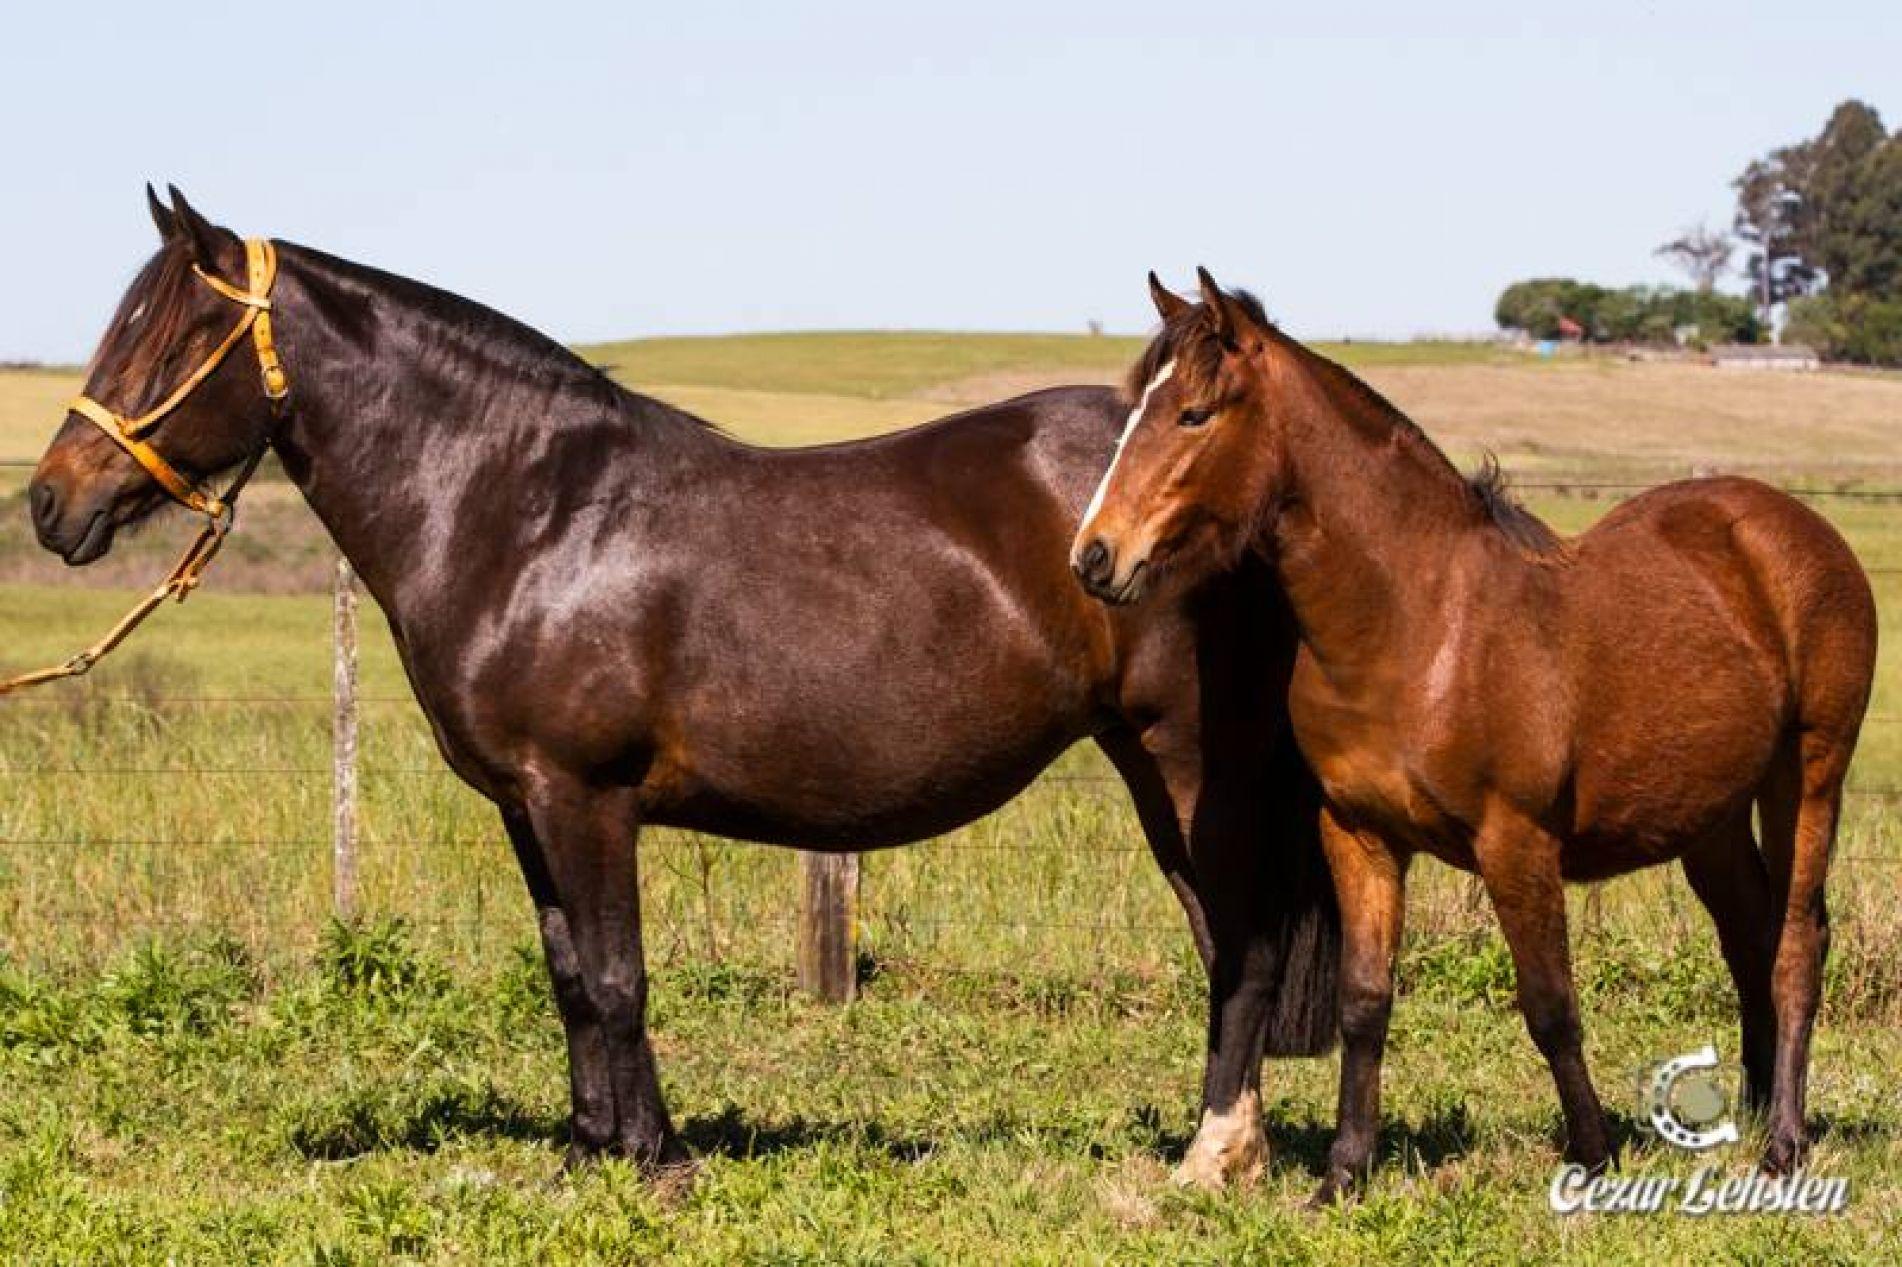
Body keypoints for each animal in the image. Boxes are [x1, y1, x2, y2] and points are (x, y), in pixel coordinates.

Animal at [26, 190, 1339, 1187]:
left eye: (162, 340)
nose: (49, 502)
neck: (526, 511)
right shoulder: (529, 806)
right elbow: (569, 976)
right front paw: (589, 1150)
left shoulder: (586, 796)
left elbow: (617, 976)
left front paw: (657, 1160)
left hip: (1183, 759)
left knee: (1240, 944)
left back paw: (1219, 1157)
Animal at [1080, 266, 1879, 1194]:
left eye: (1195, 414)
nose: (1094, 556)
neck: (1418, 624)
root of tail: (1797, 530)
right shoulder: (1359, 834)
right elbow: (1365, 1000)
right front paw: (1344, 1172)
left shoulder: (1517, 841)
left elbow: (1550, 1004)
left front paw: (1593, 1155)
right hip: (1709, 817)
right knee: (1750, 935)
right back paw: (1744, 1115)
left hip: (1809, 774)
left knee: (1796, 942)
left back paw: (1784, 1140)